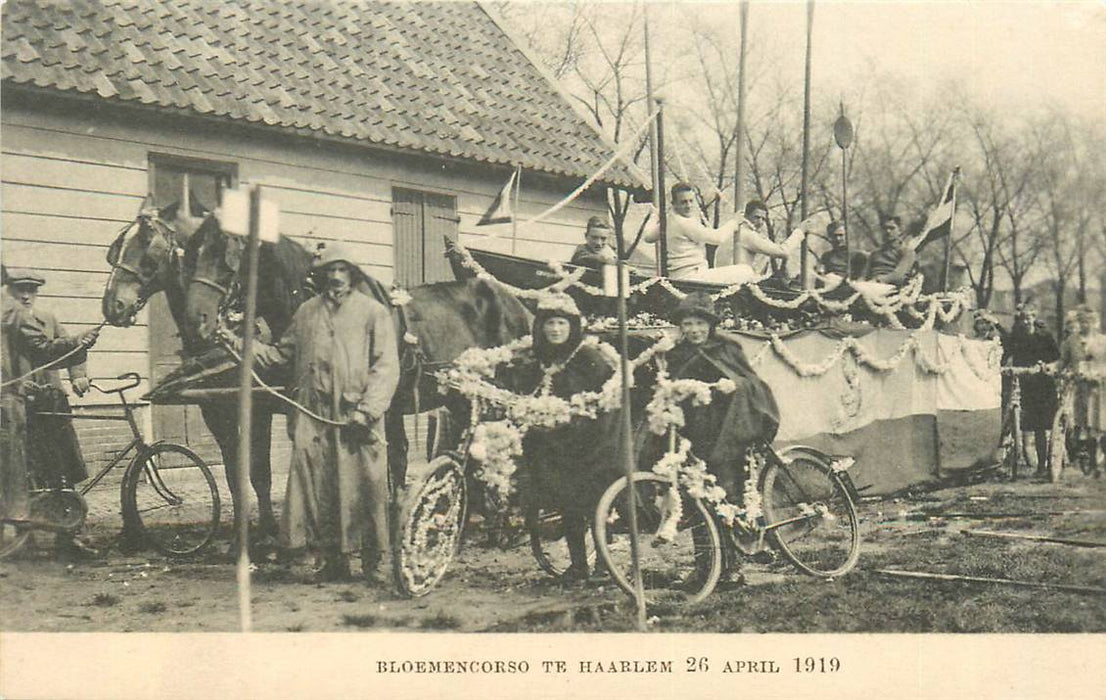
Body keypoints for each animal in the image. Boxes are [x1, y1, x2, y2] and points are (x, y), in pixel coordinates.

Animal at [100, 196, 280, 539]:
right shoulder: (215, 412)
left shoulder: (260, 407)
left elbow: (260, 473)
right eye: (116, 247)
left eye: (147, 244)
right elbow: (234, 475)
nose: (112, 305)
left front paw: (269, 529)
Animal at [182, 218, 535, 497]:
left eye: (226, 252)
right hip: (466, 395)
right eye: (192, 251)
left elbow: (395, 460)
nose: (197, 320)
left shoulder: (384, 406)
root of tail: (515, 303)